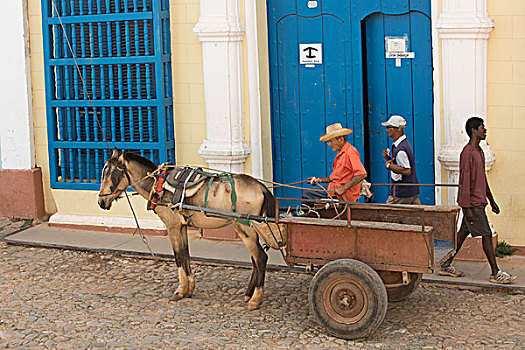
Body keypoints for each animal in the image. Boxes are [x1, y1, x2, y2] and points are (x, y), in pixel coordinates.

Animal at [96, 148, 276, 308]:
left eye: (111, 174)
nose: (101, 201)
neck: (158, 185)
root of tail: (261, 187)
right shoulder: (182, 226)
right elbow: (186, 255)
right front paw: (189, 289)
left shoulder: (172, 226)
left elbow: (178, 257)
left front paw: (180, 291)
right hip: (253, 229)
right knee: (255, 259)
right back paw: (248, 293)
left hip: (245, 228)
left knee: (260, 258)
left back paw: (255, 299)